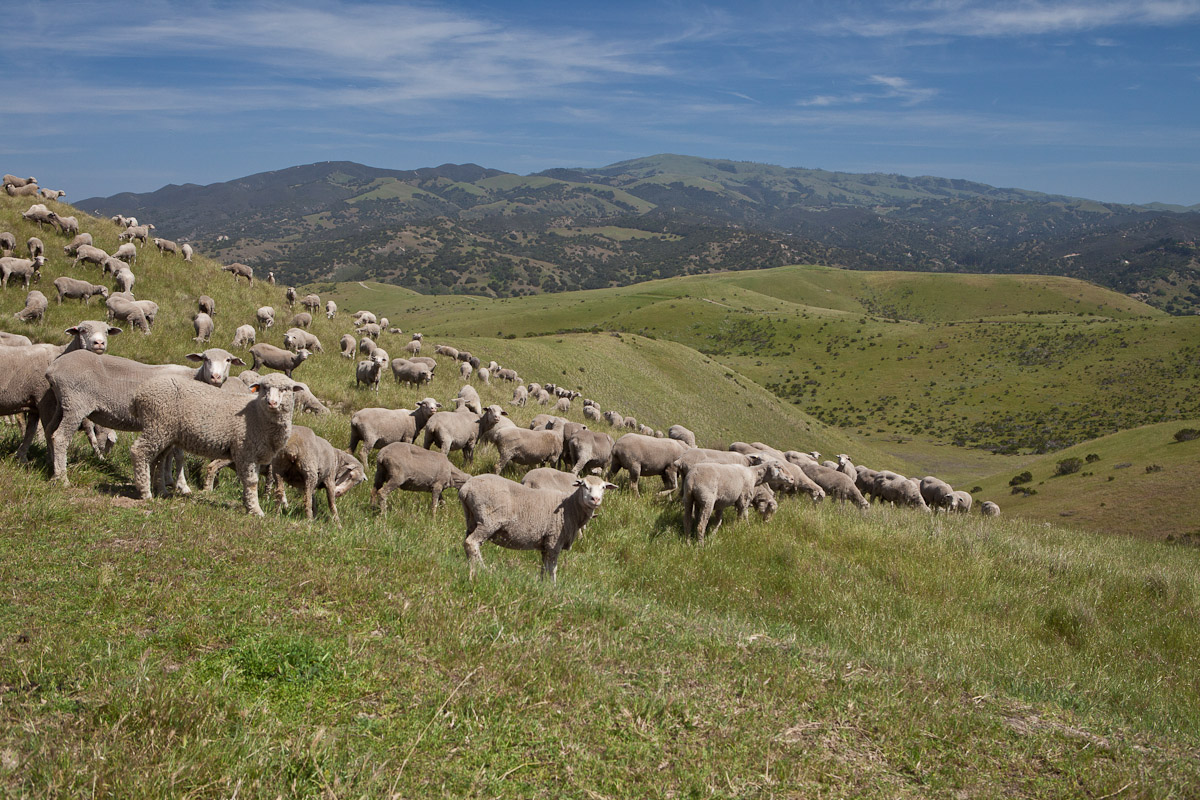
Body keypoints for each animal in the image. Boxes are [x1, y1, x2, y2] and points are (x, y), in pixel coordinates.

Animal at [131, 371, 304, 515]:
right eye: (264, 388)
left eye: (285, 389)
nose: (272, 403)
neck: (258, 415)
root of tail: (138, 394)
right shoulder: (246, 451)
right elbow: (251, 482)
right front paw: (255, 510)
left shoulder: (255, 454)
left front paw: (248, 504)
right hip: (157, 424)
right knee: (139, 451)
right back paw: (145, 492)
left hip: (165, 433)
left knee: (158, 460)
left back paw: (161, 491)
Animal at [460, 474, 619, 582]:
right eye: (584, 485)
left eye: (603, 487)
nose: (595, 499)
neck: (570, 508)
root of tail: (465, 489)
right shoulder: (554, 540)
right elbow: (552, 568)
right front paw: (553, 588)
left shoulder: (545, 543)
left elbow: (544, 567)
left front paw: (543, 585)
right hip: (489, 521)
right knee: (472, 543)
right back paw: (484, 571)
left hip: (472, 519)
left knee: (468, 544)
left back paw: (471, 571)